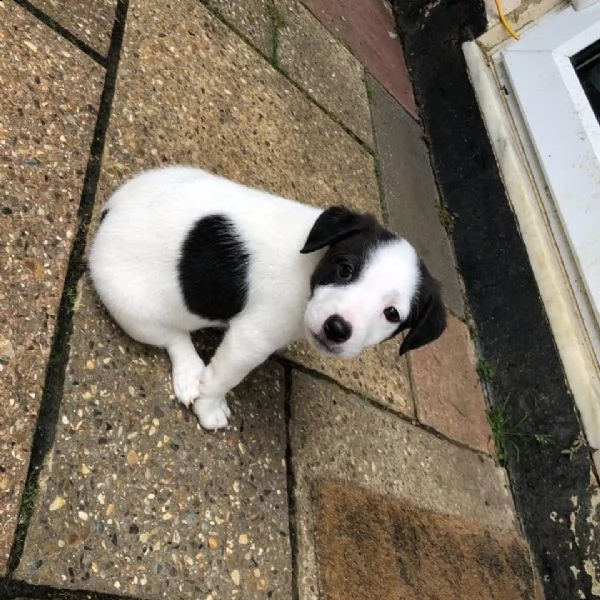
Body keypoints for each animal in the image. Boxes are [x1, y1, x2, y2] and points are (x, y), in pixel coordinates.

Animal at [89, 166, 446, 432]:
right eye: (345, 269)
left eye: (392, 313)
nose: (337, 329)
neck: (310, 266)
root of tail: (109, 212)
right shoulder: (250, 341)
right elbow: (221, 378)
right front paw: (208, 406)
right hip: (132, 308)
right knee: (172, 337)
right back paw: (190, 373)